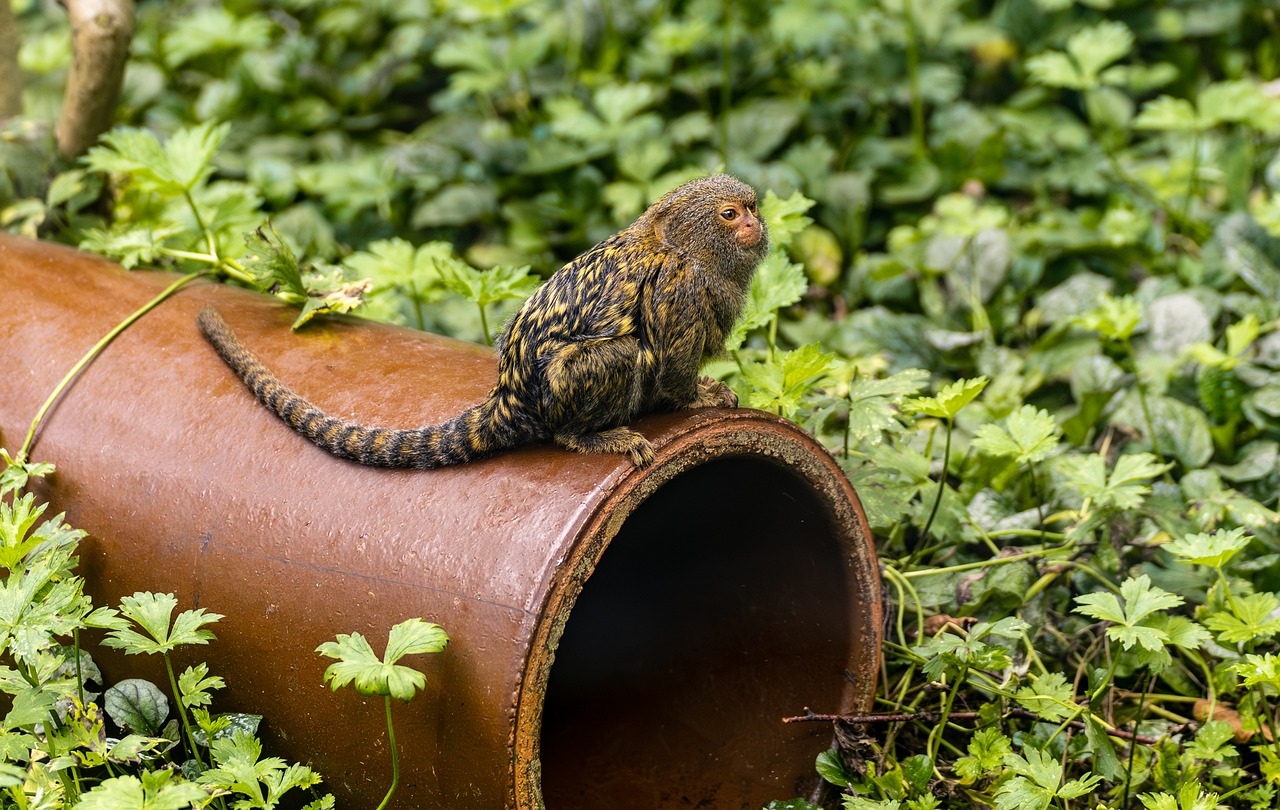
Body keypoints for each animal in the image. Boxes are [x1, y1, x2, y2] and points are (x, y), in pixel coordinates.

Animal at [197, 173, 769, 468]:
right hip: (563, 388)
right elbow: (672, 362)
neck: (685, 250)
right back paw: (590, 436)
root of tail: (509, 398)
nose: (756, 224)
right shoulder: (679, 289)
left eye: (752, 207)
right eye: (729, 215)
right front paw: (697, 396)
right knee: (615, 360)